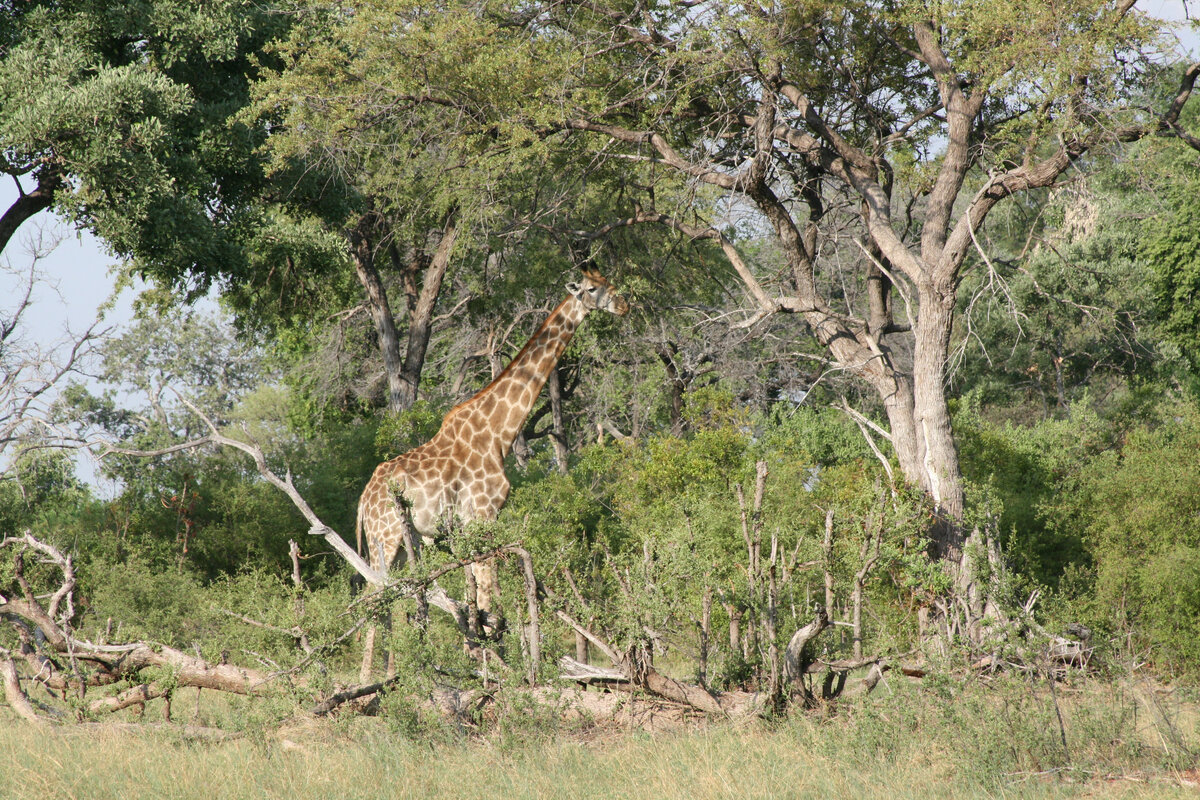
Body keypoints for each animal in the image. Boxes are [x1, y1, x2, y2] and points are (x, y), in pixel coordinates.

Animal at [352, 268, 628, 676]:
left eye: (609, 280)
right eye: (593, 288)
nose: (624, 305)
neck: (499, 433)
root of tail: (363, 500)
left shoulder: (478, 522)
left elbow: (483, 599)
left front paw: (487, 661)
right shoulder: (482, 514)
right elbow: (488, 599)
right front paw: (495, 667)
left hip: (400, 544)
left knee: (388, 597)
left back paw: (390, 673)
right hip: (384, 536)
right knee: (375, 597)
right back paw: (369, 681)